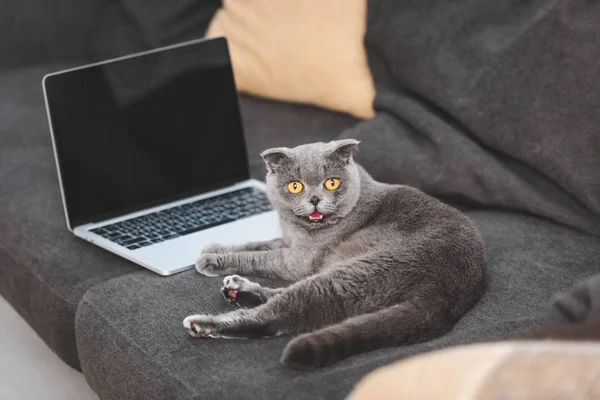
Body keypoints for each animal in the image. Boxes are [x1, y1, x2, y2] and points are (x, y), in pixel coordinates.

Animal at [180, 138, 486, 368]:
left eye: (331, 183)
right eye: (295, 186)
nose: (315, 199)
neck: (299, 228)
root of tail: (446, 295)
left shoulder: (298, 261)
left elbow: (258, 257)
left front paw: (211, 259)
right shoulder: (290, 243)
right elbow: (260, 243)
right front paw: (214, 247)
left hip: (353, 275)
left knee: (275, 316)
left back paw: (203, 323)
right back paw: (239, 289)